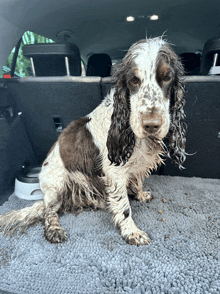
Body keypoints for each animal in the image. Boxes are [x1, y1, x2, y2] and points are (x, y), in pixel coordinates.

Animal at [0, 38, 186, 246]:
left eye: (167, 77)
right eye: (134, 80)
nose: (151, 125)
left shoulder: (136, 166)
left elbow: (137, 182)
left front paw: (140, 195)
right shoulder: (115, 172)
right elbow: (124, 206)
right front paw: (132, 232)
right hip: (56, 184)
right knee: (49, 211)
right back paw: (54, 230)